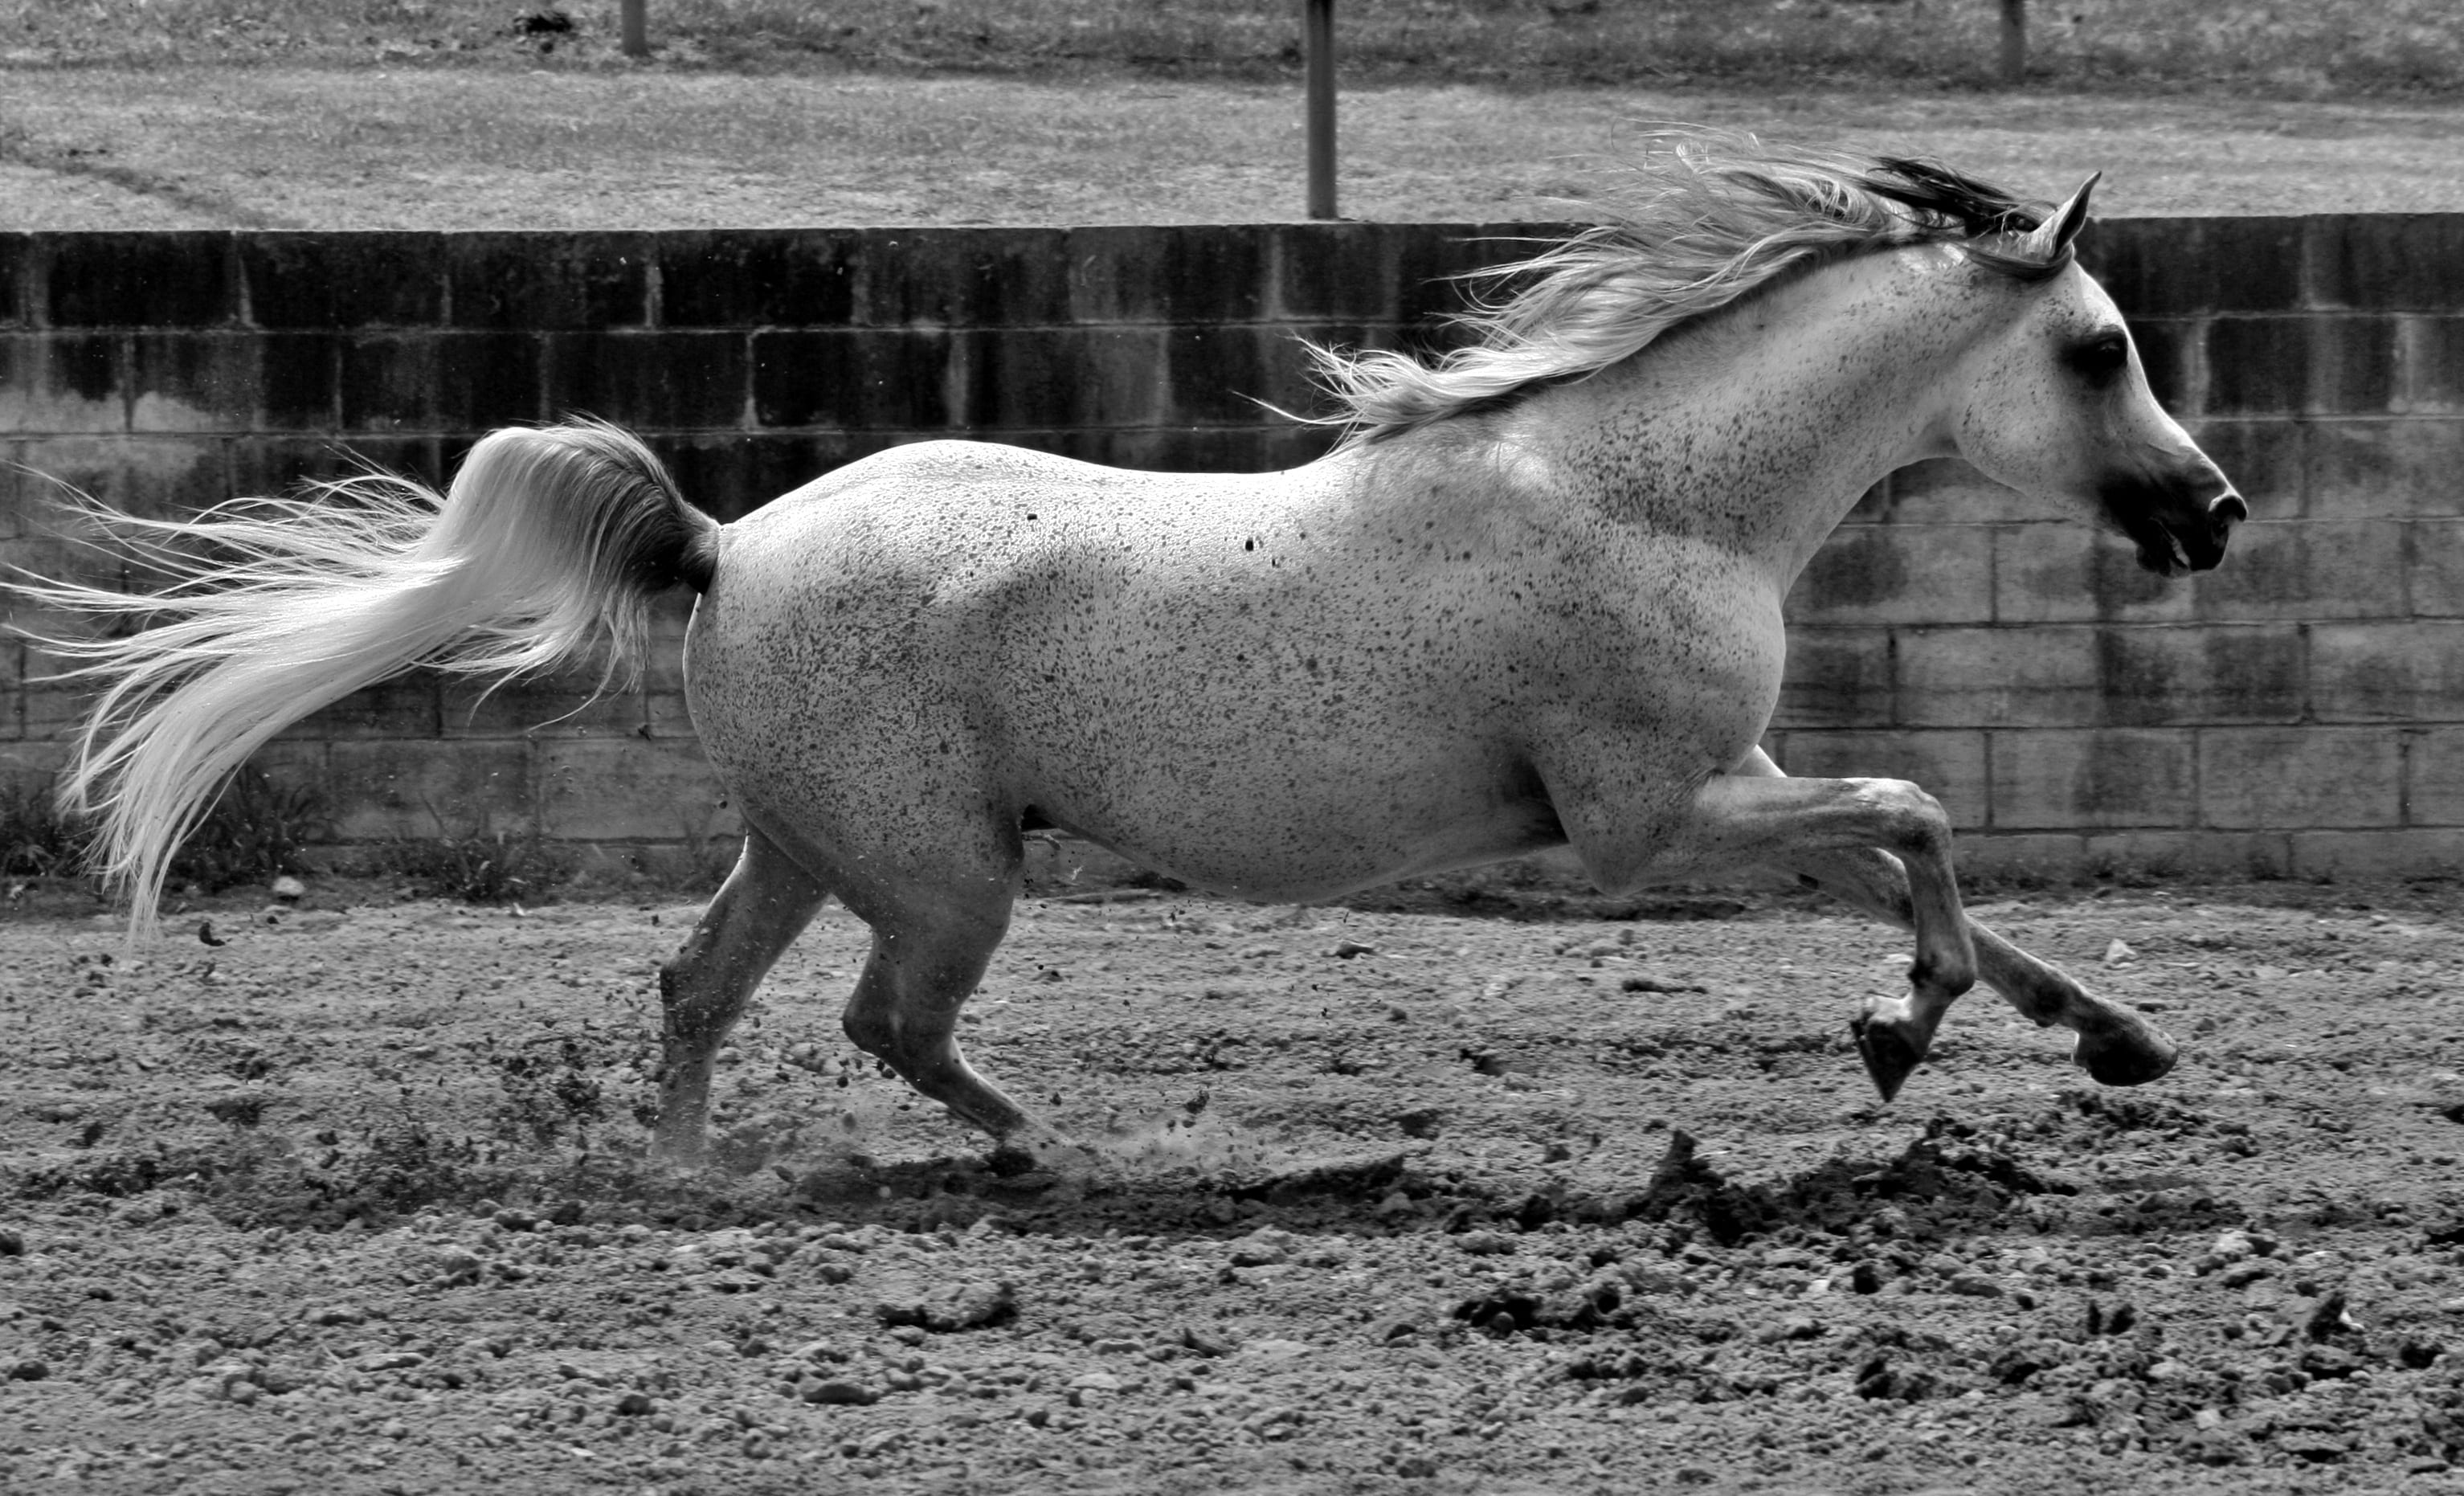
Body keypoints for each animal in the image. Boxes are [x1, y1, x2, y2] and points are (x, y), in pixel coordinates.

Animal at [33, 132, 2237, 1173]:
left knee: (698, 995)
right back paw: (1057, 1148)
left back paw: (699, 1184)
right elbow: (1922, 815)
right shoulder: (1645, 821)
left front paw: (2107, 1038)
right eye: (2100, 348)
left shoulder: (1717, 796)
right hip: (943, 872)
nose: (2211, 513)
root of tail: (729, 546)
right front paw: (1895, 1030)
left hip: (810, 846)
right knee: (883, 1025)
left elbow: (1935, 869)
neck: (1649, 489)